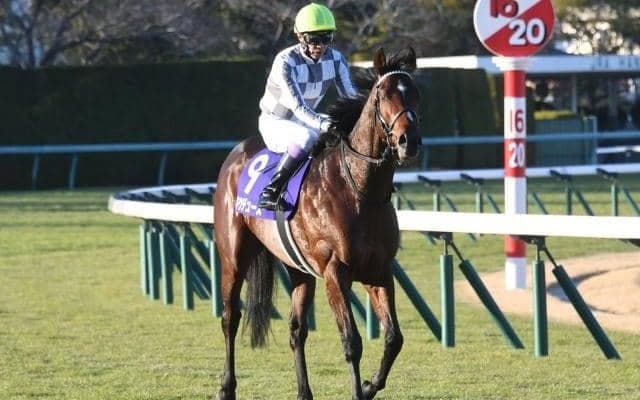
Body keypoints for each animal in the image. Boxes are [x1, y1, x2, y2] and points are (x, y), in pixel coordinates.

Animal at [213, 47, 421, 400]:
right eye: (382, 95)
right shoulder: (336, 272)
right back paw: (226, 388)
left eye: (416, 93)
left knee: (296, 330)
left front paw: (369, 386)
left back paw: (303, 392)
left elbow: (394, 338)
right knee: (231, 317)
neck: (360, 189)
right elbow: (351, 342)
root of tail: (236, 155)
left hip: (299, 269)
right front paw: (358, 391)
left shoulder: (379, 270)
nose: (409, 141)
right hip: (234, 258)